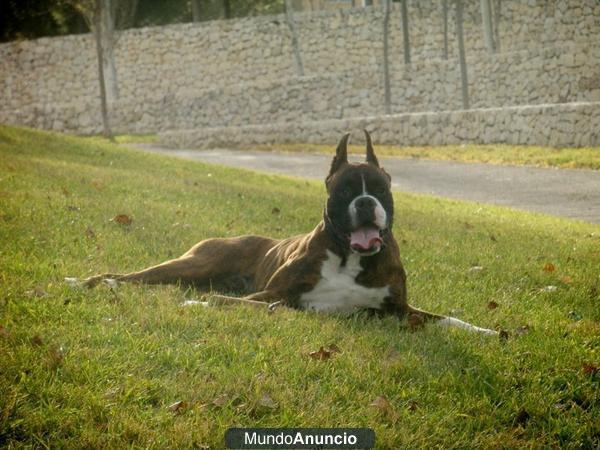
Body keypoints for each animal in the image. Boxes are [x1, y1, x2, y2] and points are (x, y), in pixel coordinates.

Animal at [78, 130, 496, 334]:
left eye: (379, 189)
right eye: (344, 190)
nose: (364, 203)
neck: (350, 259)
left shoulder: (399, 310)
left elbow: (449, 320)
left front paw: (491, 333)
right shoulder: (273, 294)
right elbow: (240, 303)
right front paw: (200, 305)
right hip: (192, 265)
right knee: (131, 277)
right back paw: (88, 282)